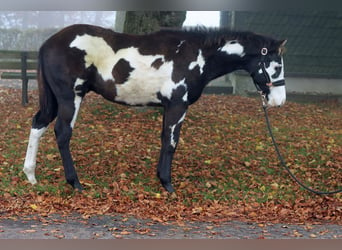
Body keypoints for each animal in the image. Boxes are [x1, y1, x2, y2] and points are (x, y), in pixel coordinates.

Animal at [22, 24, 288, 192]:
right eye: (276, 66)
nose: (279, 101)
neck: (197, 55)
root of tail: (48, 43)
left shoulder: (168, 106)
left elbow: (164, 140)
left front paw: (161, 179)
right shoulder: (178, 105)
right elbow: (171, 143)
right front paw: (168, 184)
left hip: (55, 100)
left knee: (38, 124)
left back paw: (31, 175)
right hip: (70, 98)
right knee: (62, 134)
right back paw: (74, 183)